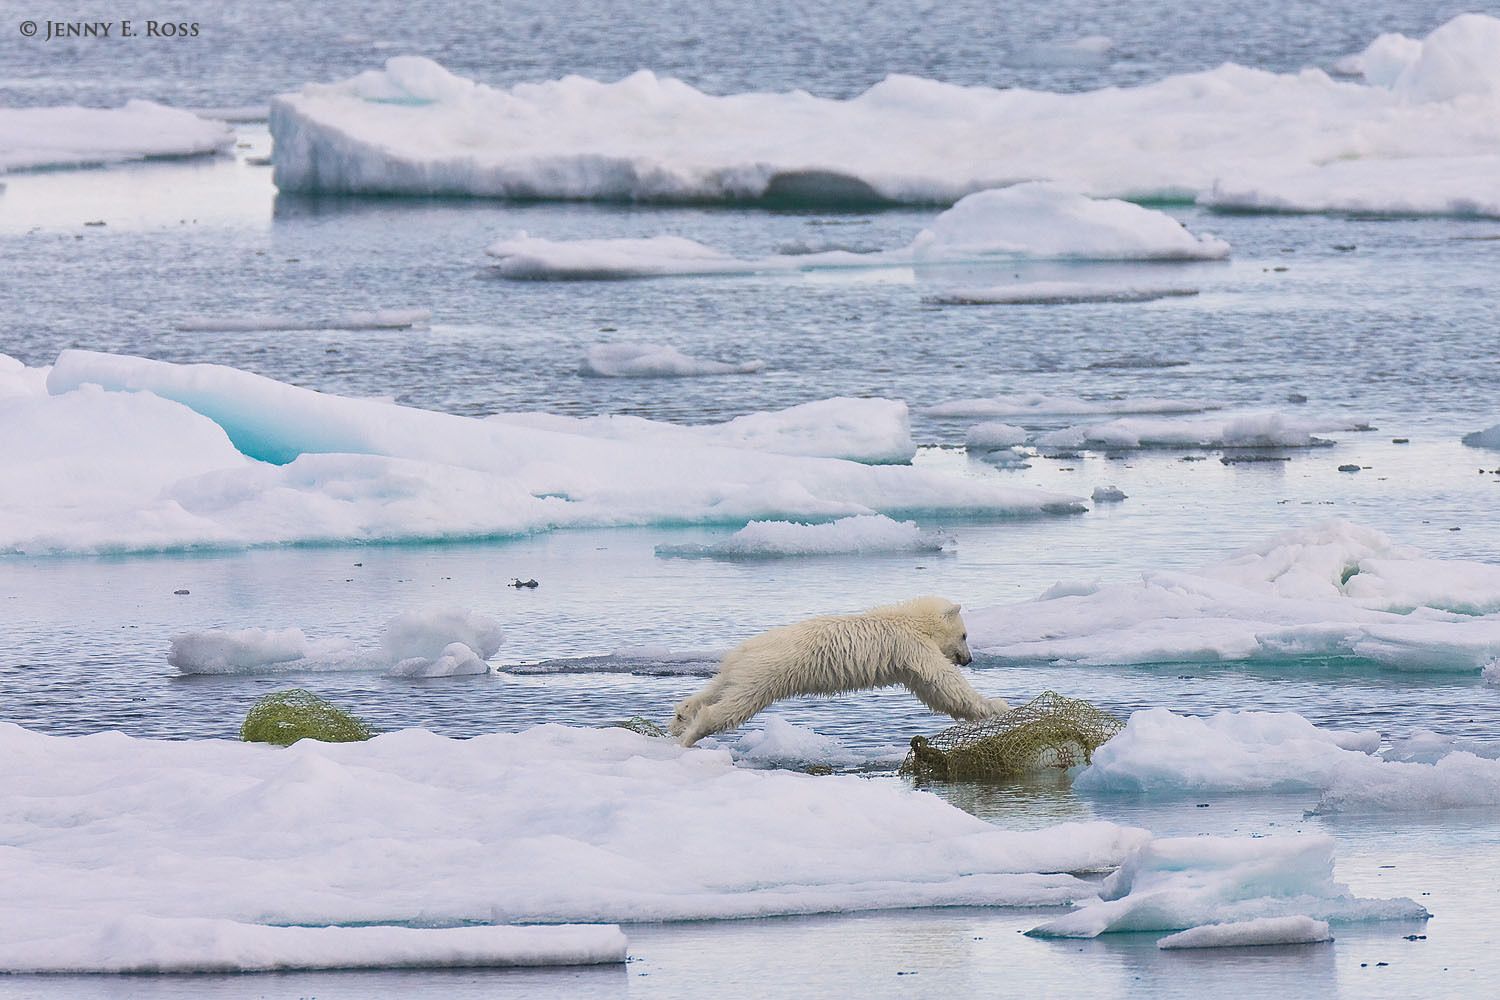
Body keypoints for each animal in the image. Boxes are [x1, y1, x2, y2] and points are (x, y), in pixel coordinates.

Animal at [672, 599, 1008, 746]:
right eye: (965, 635)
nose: (969, 659)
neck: (907, 619)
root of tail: (743, 650)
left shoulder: (904, 661)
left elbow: (936, 693)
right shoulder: (910, 646)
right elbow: (942, 681)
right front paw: (997, 705)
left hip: (740, 668)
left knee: (717, 688)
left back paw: (680, 718)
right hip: (766, 673)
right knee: (733, 705)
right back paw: (690, 736)